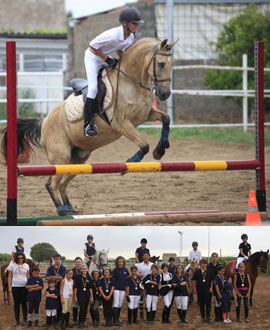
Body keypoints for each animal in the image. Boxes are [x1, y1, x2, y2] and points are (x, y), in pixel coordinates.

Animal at [0, 38, 177, 217]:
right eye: (161, 63)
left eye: (173, 63)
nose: (165, 94)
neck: (131, 82)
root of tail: (44, 122)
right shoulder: (120, 123)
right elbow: (144, 145)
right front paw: (128, 164)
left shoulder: (146, 114)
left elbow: (166, 119)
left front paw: (160, 149)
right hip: (61, 157)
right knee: (52, 184)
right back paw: (61, 210)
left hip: (79, 159)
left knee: (62, 183)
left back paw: (69, 207)